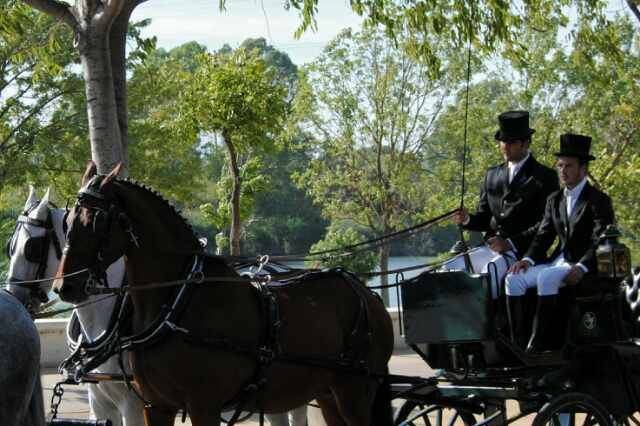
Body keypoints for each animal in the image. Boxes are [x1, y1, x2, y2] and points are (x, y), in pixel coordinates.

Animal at [53, 163, 396, 426]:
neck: (176, 303)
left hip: (355, 390)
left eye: (96, 221)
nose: (64, 287)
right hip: (327, 391)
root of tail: (367, 294)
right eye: (67, 221)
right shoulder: (157, 406)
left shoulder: (203, 407)